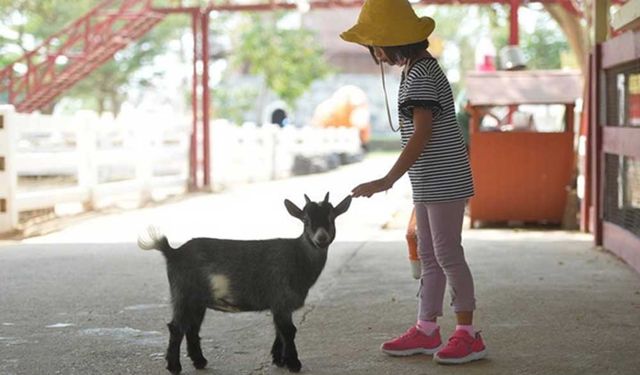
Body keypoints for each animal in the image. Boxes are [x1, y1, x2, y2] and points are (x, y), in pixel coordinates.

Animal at [138, 192, 352, 374]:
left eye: (332, 218)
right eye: (306, 221)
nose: (321, 238)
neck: (298, 256)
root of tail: (172, 252)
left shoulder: (279, 305)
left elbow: (279, 330)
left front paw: (278, 359)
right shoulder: (281, 299)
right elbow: (288, 331)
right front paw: (293, 364)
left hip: (197, 301)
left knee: (192, 327)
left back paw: (199, 361)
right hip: (183, 294)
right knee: (177, 327)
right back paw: (175, 366)